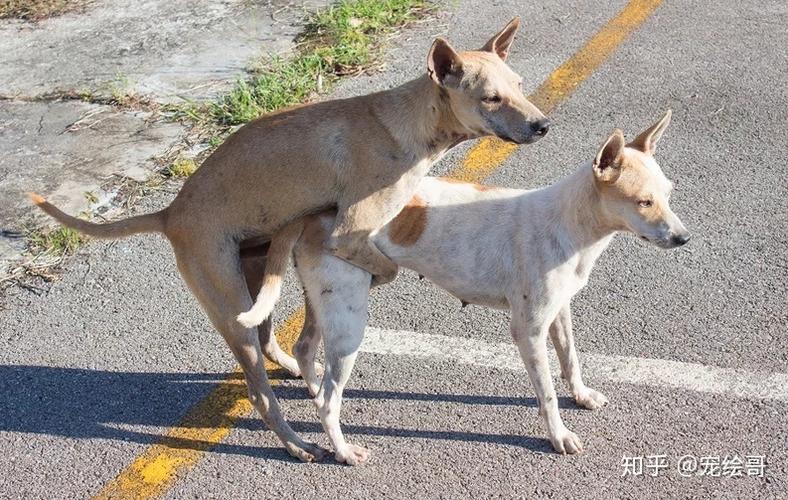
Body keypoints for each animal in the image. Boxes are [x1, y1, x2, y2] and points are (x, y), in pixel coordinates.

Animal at [29, 19, 548, 464]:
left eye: (520, 86)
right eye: (491, 98)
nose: (543, 126)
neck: (407, 123)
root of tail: (171, 213)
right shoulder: (348, 232)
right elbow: (387, 267)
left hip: (256, 278)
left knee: (270, 340)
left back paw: (301, 376)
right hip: (231, 306)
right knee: (261, 393)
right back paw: (298, 443)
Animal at [240, 110, 688, 464]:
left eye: (668, 194)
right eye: (643, 201)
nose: (685, 238)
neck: (570, 224)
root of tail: (318, 211)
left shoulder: (559, 312)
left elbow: (571, 360)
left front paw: (580, 394)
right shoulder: (527, 330)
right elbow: (545, 393)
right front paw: (558, 435)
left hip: (328, 305)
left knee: (304, 351)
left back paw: (313, 387)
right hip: (350, 323)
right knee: (330, 402)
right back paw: (344, 450)